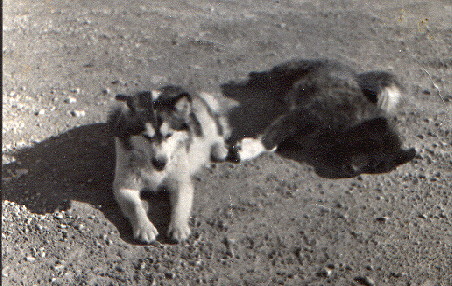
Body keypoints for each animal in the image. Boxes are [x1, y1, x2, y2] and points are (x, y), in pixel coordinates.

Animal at [108, 85, 230, 244]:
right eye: (146, 137)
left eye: (169, 135)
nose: (160, 162)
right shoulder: (124, 186)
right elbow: (135, 206)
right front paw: (145, 227)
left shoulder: (181, 183)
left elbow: (180, 206)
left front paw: (179, 227)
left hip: (207, 123)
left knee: (218, 131)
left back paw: (220, 149)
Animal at [230, 58, 416, 177]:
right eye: (368, 146)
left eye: (375, 166)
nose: (353, 172)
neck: (352, 123)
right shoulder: (302, 114)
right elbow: (270, 140)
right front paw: (251, 149)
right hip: (287, 70)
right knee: (266, 76)